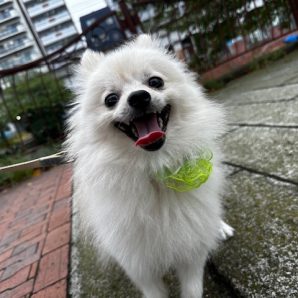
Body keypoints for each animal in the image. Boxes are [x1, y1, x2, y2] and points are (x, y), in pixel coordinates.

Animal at [66, 33, 234, 296]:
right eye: (110, 99)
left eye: (155, 82)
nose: (139, 97)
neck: (154, 166)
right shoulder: (138, 261)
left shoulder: (191, 246)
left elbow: (192, 289)